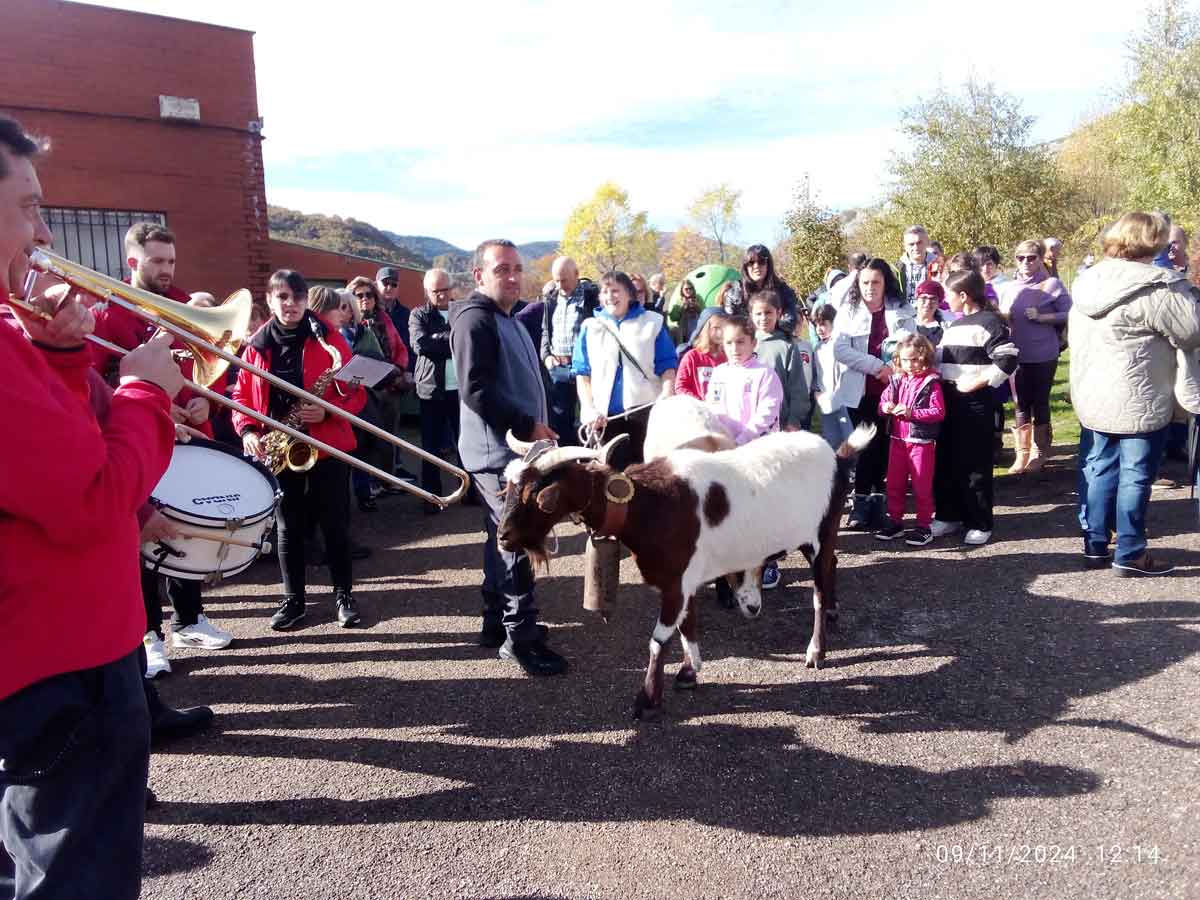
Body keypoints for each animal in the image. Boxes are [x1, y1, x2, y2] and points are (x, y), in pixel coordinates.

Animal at [496, 427, 873, 724]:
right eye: (509, 488)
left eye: (536, 495)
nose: (503, 537)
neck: (649, 504)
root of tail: (838, 456)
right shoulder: (685, 578)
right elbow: (687, 624)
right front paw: (690, 671)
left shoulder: (675, 582)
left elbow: (658, 639)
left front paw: (647, 700)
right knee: (832, 564)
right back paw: (833, 612)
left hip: (823, 531)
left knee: (818, 589)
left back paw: (816, 652)